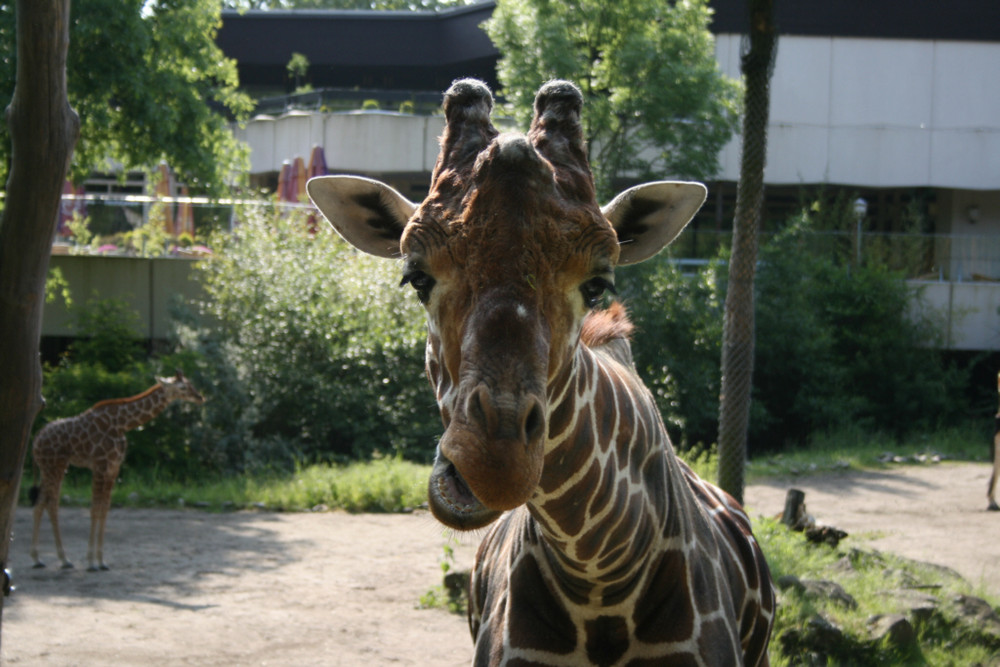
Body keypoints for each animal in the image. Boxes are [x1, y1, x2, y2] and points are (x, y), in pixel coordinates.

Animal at [28, 368, 203, 572]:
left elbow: (104, 510)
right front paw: (91, 562)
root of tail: (36, 440)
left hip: (51, 467)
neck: (122, 424)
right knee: (51, 504)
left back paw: (39, 558)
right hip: (54, 466)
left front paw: (102, 561)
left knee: (41, 503)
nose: (200, 397)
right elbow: (94, 509)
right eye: (182, 387)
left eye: (190, 383)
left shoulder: (113, 468)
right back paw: (62, 559)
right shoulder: (99, 466)